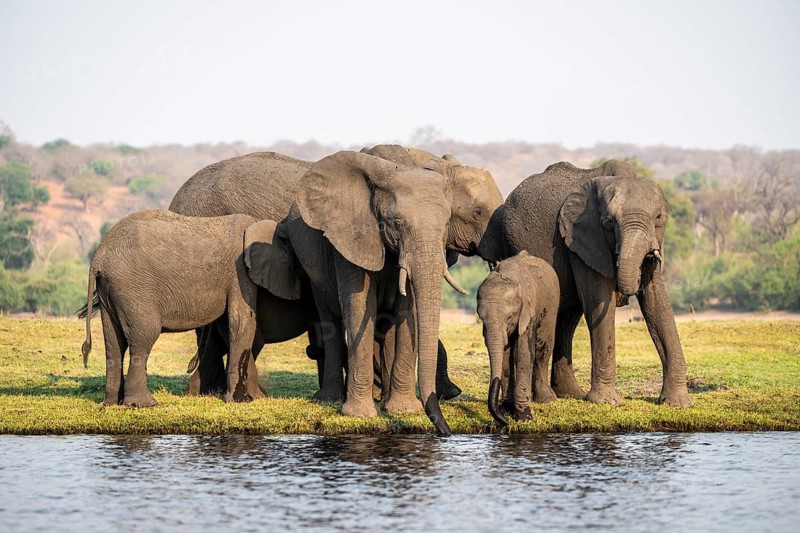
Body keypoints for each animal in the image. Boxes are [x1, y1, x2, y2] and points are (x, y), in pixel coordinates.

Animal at [79, 210, 292, 407]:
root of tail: (99, 255)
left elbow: (229, 323)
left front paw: (257, 398)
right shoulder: (239, 272)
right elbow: (241, 319)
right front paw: (242, 401)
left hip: (109, 290)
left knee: (114, 342)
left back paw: (111, 403)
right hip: (132, 289)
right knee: (144, 335)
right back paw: (144, 404)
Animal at [272, 150, 463, 435]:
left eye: (446, 226)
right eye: (396, 222)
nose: (447, 433)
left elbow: (408, 309)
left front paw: (403, 411)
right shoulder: (348, 238)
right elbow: (361, 305)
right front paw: (360, 414)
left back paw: (381, 398)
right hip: (314, 272)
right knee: (330, 321)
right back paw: (330, 399)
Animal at [477, 251, 560, 426]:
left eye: (510, 317)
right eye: (481, 319)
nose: (505, 422)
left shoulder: (528, 310)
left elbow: (522, 353)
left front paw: (524, 417)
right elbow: (505, 353)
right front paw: (507, 409)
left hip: (551, 308)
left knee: (542, 351)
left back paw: (546, 399)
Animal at [478, 160, 692, 407]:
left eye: (658, 217)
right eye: (608, 222)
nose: (624, 296)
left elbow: (657, 302)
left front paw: (677, 403)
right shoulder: (582, 240)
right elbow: (598, 302)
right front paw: (606, 402)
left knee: (568, 316)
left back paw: (570, 394)